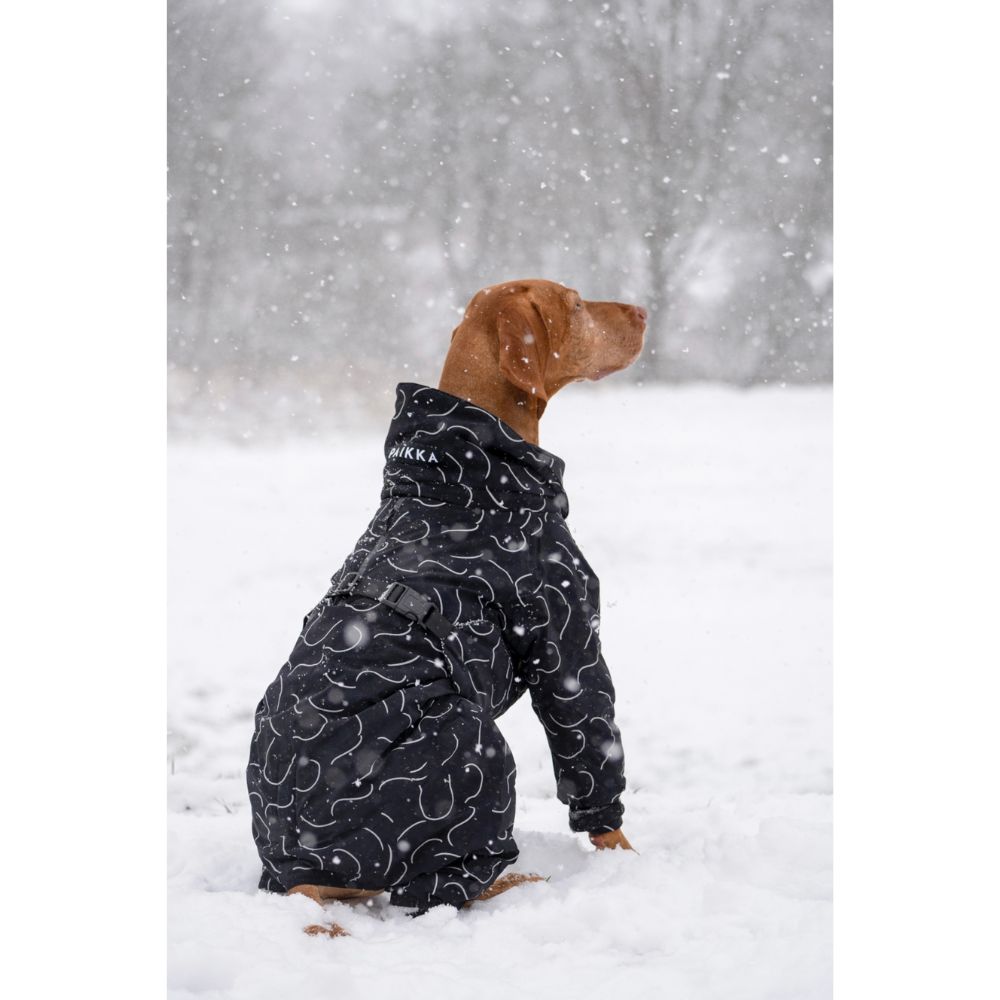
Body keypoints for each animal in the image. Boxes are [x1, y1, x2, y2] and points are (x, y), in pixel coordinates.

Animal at [246, 278, 644, 932]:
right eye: (576, 303)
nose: (641, 311)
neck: (469, 472)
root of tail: (296, 870)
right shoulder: (565, 641)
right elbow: (592, 745)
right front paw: (625, 858)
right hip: (470, 741)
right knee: (429, 895)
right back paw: (512, 881)